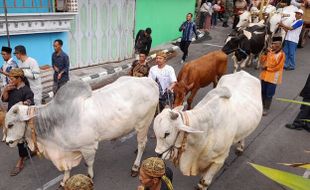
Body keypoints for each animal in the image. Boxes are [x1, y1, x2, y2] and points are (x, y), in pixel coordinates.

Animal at [4, 77, 159, 186]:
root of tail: (150, 81)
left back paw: (135, 166)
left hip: (143, 124)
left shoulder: (88, 146)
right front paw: (64, 181)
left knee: (142, 143)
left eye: (11, 125)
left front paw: (89, 176)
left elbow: (89, 163)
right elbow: (67, 169)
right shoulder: (65, 151)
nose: (5, 142)